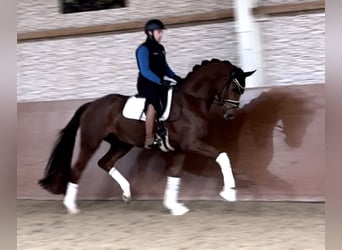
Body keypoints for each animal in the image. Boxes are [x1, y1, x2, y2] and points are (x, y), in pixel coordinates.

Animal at [38, 58, 255, 215]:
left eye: (242, 90)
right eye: (235, 88)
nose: (231, 115)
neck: (191, 102)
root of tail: (92, 104)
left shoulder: (181, 149)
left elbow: (174, 174)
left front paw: (173, 206)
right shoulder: (193, 144)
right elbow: (223, 156)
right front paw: (229, 192)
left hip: (121, 144)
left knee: (105, 163)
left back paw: (126, 193)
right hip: (91, 142)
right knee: (78, 168)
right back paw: (71, 206)